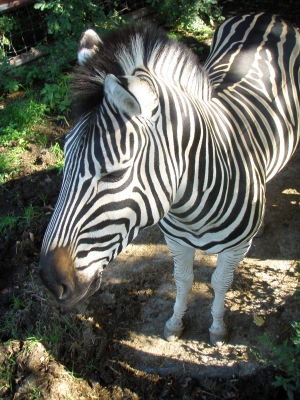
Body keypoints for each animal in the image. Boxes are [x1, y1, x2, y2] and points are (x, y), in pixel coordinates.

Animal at [39, 11, 300, 344]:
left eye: (115, 173)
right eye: (65, 157)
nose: (49, 281)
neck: (192, 204)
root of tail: (265, 15)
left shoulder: (235, 250)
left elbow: (220, 282)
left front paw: (217, 328)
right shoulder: (175, 241)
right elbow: (183, 279)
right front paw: (176, 322)